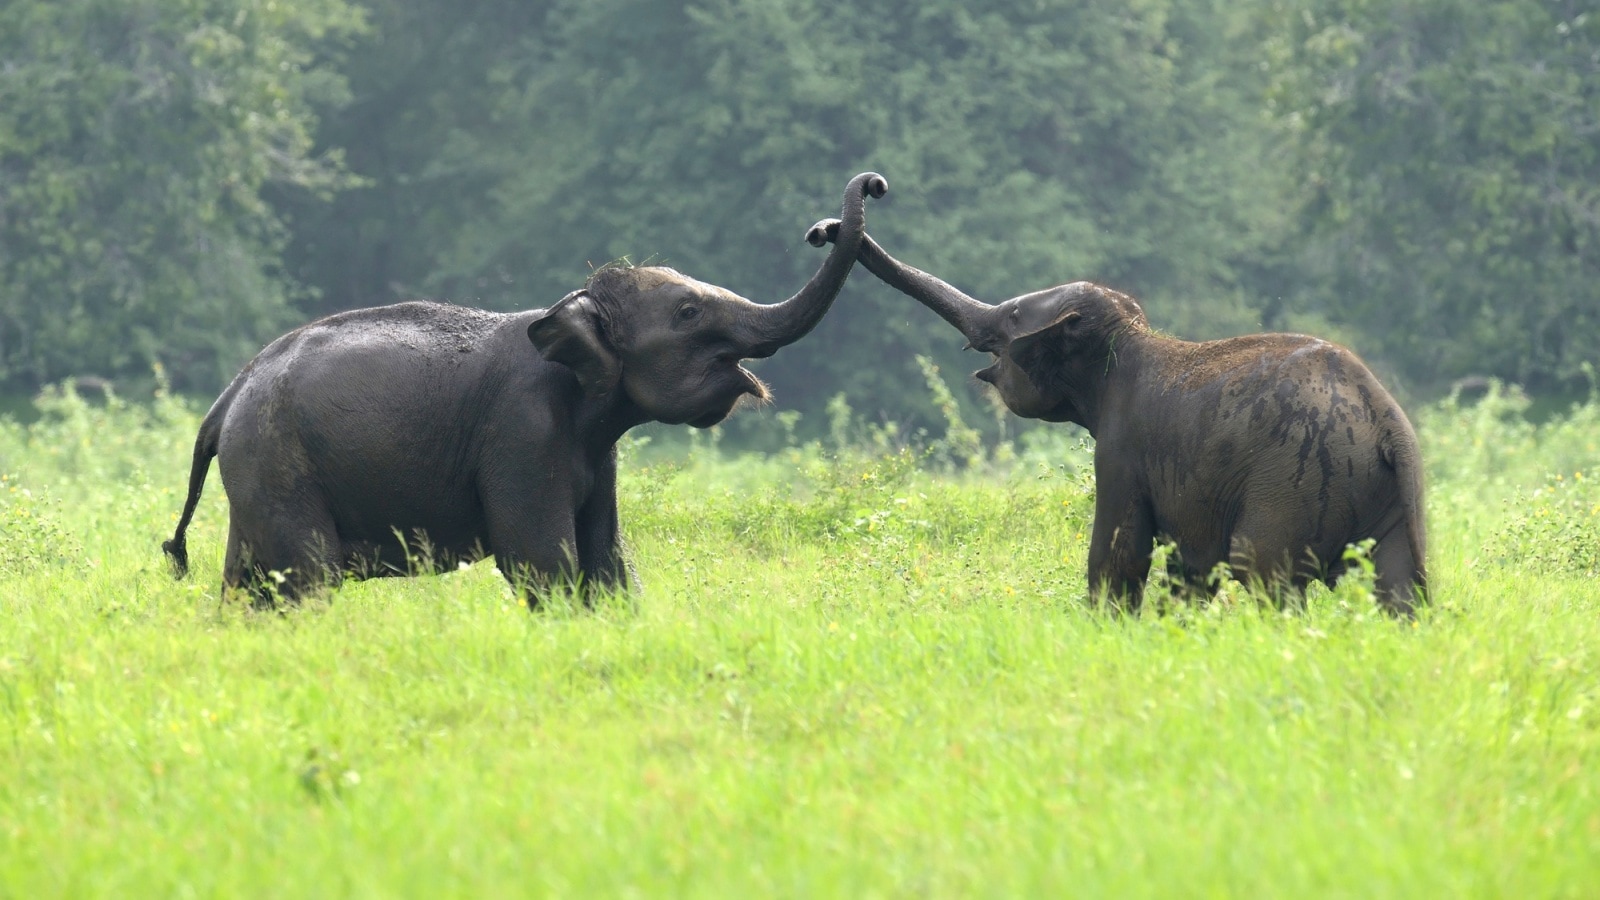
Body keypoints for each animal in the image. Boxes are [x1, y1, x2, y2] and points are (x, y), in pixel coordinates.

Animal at [160, 172, 887, 607]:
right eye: (687, 313)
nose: (867, 189)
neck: (565, 311)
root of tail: (226, 400)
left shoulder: (595, 449)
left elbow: (607, 560)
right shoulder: (522, 433)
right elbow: (544, 562)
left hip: (258, 470)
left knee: (249, 583)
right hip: (280, 461)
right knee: (304, 578)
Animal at [807, 219, 1426, 614]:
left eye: (1012, 315)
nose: (824, 229)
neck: (1130, 339)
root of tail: (1384, 420)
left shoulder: (1122, 449)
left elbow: (1119, 555)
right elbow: (1187, 570)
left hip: (1292, 485)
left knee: (1265, 578)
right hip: (1392, 497)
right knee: (1401, 591)